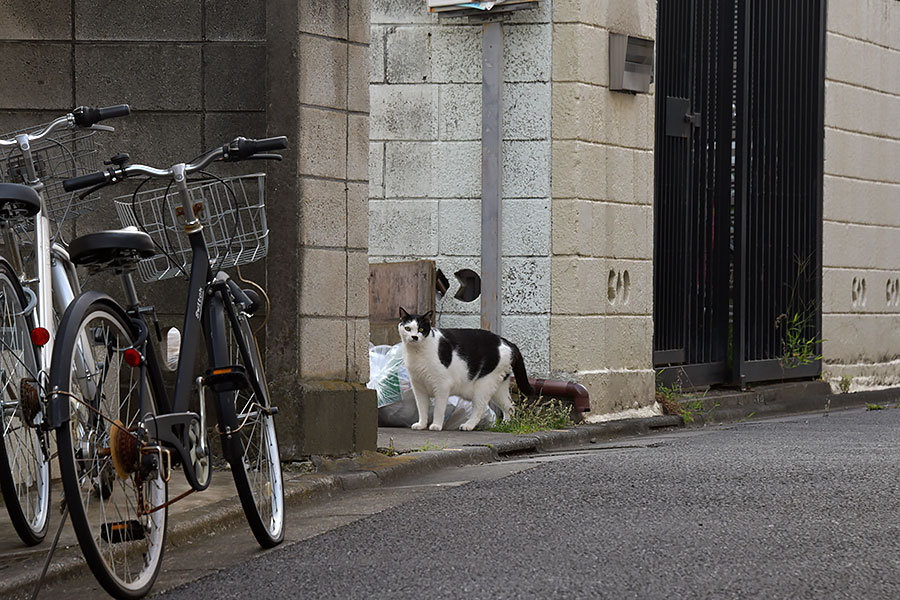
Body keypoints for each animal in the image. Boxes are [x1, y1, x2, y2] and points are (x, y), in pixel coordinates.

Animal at [396, 310, 536, 432]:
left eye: (421, 329)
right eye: (407, 328)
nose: (414, 337)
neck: (417, 353)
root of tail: (508, 343)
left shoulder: (442, 386)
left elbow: (439, 409)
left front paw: (436, 425)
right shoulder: (418, 387)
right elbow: (422, 408)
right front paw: (421, 424)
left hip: (483, 386)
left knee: (480, 409)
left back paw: (468, 425)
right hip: (499, 388)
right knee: (510, 406)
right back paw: (505, 425)